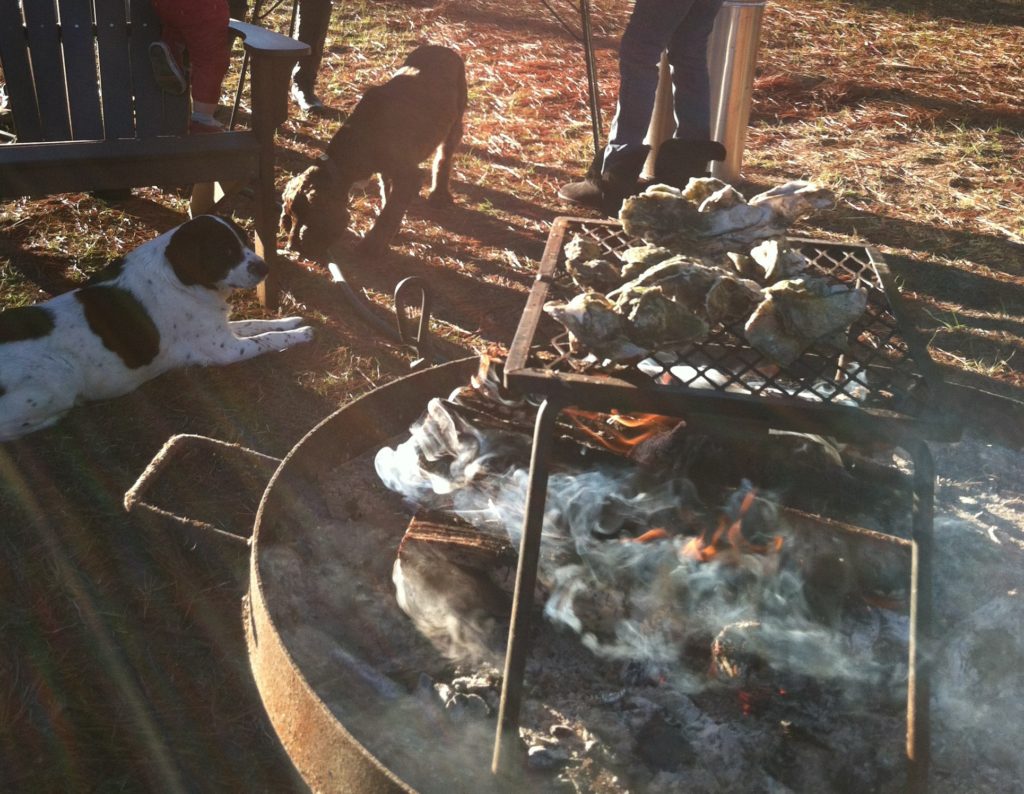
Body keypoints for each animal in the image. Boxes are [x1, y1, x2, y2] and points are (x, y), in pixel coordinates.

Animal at [0, 216, 311, 440]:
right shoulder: (226, 349)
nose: (266, 268)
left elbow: (257, 324)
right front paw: (300, 334)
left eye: (247, 241)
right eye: (225, 252)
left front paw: (290, 322)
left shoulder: (221, 330)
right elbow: (266, 340)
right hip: (61, 378)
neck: (180, 278)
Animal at [282, 45, 468, 258]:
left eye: (307, 219)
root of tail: (441, 47)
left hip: (455, 122)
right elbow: (387, 195)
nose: (292, 248)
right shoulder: (385, 171)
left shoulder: (409, 175)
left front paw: (370, 247)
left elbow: (390, 212)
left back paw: (438, 194)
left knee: (444, 156)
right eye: (290, 218)